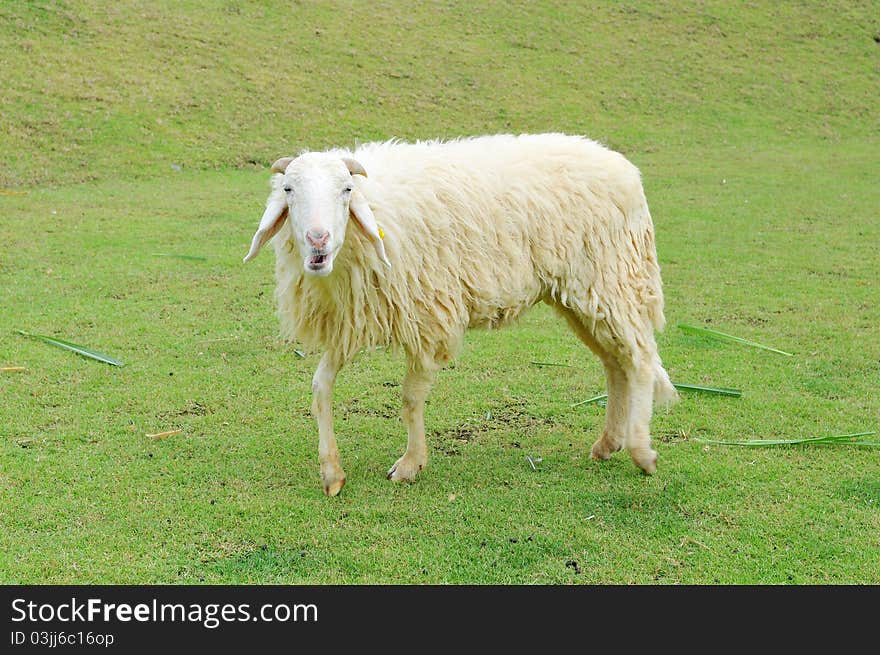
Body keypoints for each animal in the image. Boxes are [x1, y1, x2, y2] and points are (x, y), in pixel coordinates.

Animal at [244, 135, 676, 498]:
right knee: (615, 363)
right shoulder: (354, 318)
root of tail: (624, 167)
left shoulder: (429, 316)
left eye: (346, 190)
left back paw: (641, 451)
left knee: (639, 361)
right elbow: (321, 389)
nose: (318, 240)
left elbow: (410, 399)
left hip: (612, 282)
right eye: (288, 190)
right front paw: (332, 472)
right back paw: (608, 443)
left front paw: (410, 464)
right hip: (580, 298)